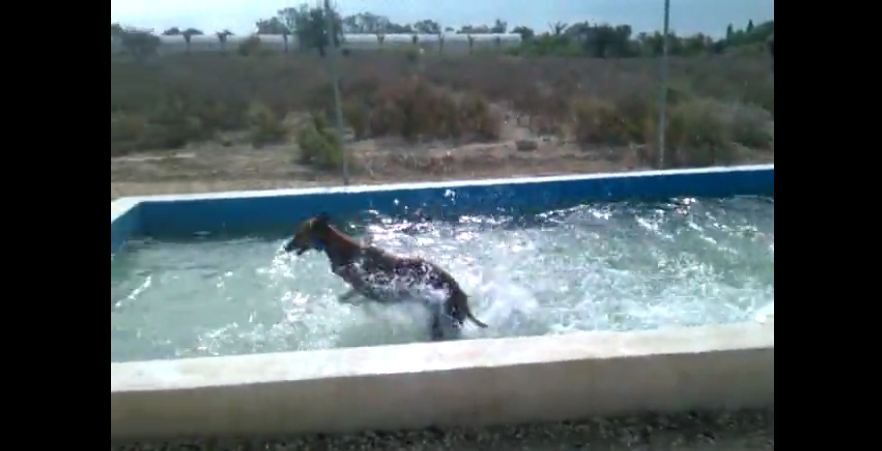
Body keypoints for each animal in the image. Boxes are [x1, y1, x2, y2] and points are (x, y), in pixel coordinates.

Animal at [284, 214, 484, 340]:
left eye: (299, 233)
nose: (286, 247)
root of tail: (462, 296)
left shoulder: (370, 287)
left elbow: (356, 297)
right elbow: (346, 298)